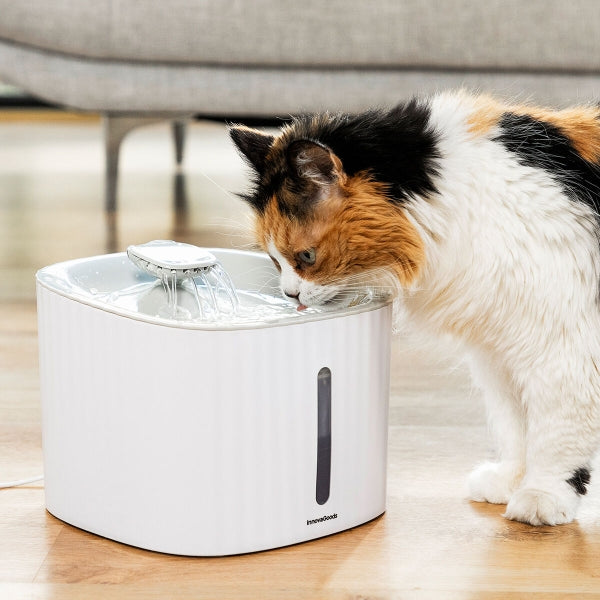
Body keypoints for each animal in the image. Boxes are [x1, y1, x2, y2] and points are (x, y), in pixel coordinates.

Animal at [229, 90, 600, 524]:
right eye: (274, 260)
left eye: (306, 256)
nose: (291, 295)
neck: (453, 197)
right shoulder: (501, 353)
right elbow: (516, 426)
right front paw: (510, 481)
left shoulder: (564, 348)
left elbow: (555, 434)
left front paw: (542, 496)